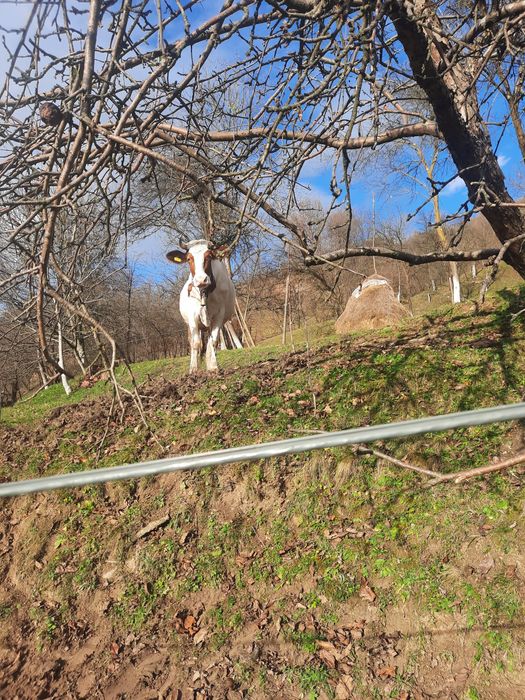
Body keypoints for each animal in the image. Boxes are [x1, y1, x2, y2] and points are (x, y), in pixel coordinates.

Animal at [166, 239, 236, 373]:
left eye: (209, 256)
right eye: (189, 258)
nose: (201, 280)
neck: (205, 293)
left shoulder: (219, 315)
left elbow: (213, 341)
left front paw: (213, 367)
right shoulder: (193, 316)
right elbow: (196, 343)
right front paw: (193, 369)